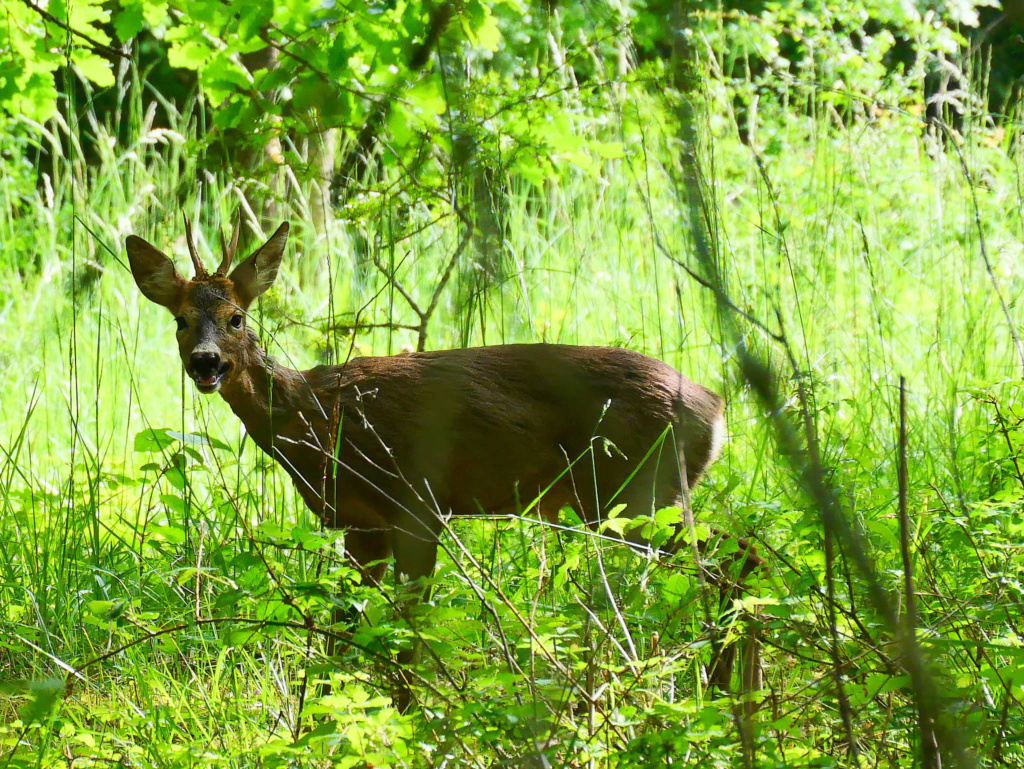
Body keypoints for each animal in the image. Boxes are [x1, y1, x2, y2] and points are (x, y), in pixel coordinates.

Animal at [125, 215, 761, 708]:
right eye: (181, 319)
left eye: (237, 317)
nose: (206, 362)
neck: (315, 419)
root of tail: (716, 408)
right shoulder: (360, 525)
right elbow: (343, 628)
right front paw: (328, 714)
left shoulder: (418, 506)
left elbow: (409, 632)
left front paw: (408, 719)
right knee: (742, 553)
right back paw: (736, 693)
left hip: (638, 491)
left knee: (731, 558)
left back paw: (726, 689)